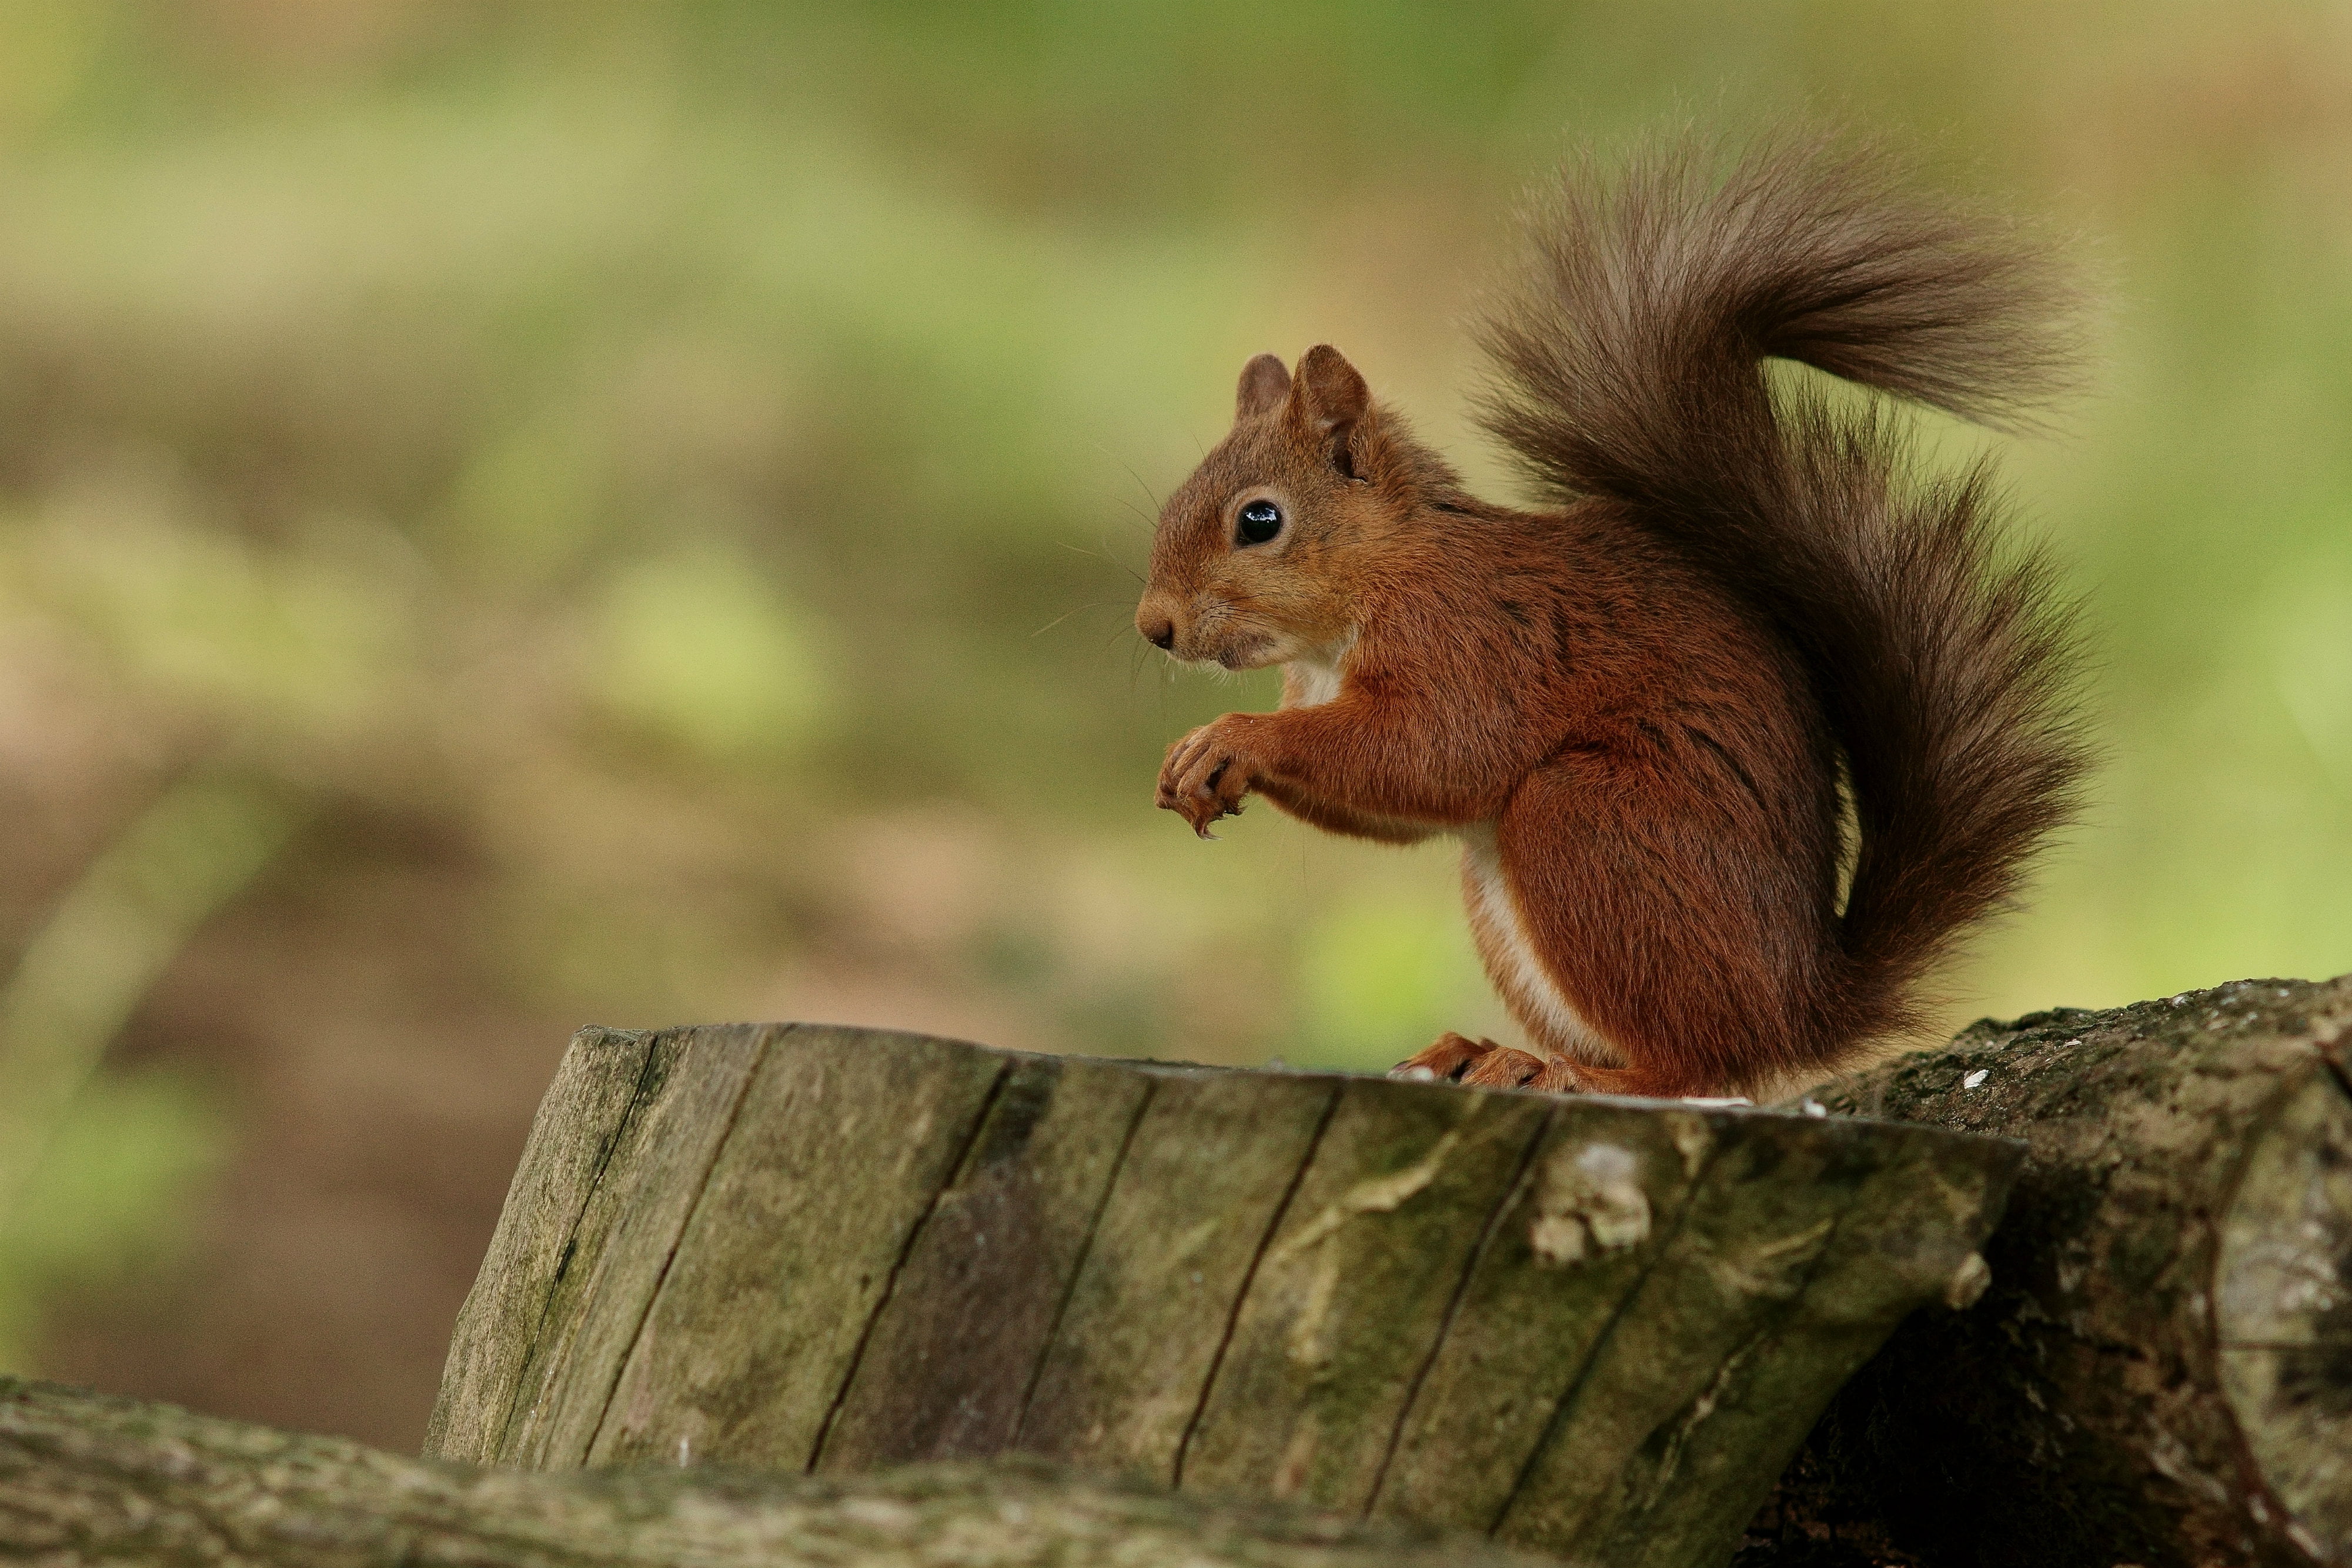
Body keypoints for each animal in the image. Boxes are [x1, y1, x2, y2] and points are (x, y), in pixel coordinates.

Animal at [1131, 131, 2090, 1100]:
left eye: (1260, 520)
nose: (1153, 627)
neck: (1368, 592)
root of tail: (1804, 1004)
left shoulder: (1473, 641)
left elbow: (1434, 753)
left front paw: (1235, 738)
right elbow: (1398, 808)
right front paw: (1191, 762)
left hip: (1589, 826)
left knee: (1700, 1065)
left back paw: (1582, 1075)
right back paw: (1485, 1053)